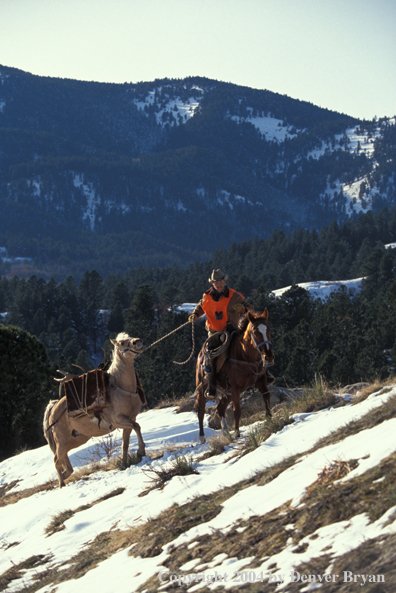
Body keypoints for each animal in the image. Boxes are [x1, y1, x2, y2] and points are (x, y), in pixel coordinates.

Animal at [42, 332, 147, 486]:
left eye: (129, 336)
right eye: (121, 342)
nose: (137, 342)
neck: (122, 389)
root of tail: (53, 406)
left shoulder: (129, 419)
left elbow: (126, 442)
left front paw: (125, 462)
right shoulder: (119, 420)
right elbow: (137, 426)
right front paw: (141, 451)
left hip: (76, 439)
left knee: (63, 458)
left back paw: (66, 474)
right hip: (62, 440)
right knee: (56, 460)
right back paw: (62, 484)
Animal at [193, 308, 274, 442]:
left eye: (269, 329)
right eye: (255, 332)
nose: (268, 357)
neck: (245, 356)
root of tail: (200, 354)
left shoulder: (261, 381)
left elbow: (267, 397)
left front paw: (269, 418)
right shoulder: (236, 388)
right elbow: (237, 410)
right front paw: (237, 432)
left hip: (228, 391)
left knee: (220, 408)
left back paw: (226, 432)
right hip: (203, 387)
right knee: (201, 410)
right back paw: (202, 437)